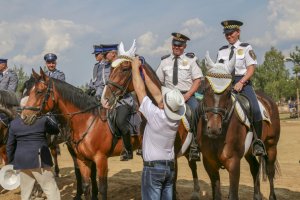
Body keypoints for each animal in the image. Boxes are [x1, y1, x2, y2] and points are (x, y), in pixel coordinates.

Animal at [20, 69, 144, 200]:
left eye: (38, 92)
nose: (24, 116)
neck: (86, 120)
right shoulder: (82, 158)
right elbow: (86, 185)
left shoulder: (101, 159)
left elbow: (103, 188)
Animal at [101, 60, 202, 199]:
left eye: (124, 69)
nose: (105, 100)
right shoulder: (147, 157)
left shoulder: (173, 158)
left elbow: (172, 183)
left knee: (193, 166)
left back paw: (196, 192)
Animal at [197, 56, 282, 200]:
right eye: (206, 90)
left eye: (228, 92)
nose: (214, 129)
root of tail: (269, 101)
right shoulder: (209, 163)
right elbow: (216, 194)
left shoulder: (234, 163)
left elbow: (233, 195)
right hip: (249, 151)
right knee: (255, 167)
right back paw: (257, 196)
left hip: (271, 145)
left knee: (270, 171)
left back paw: (272, 196)